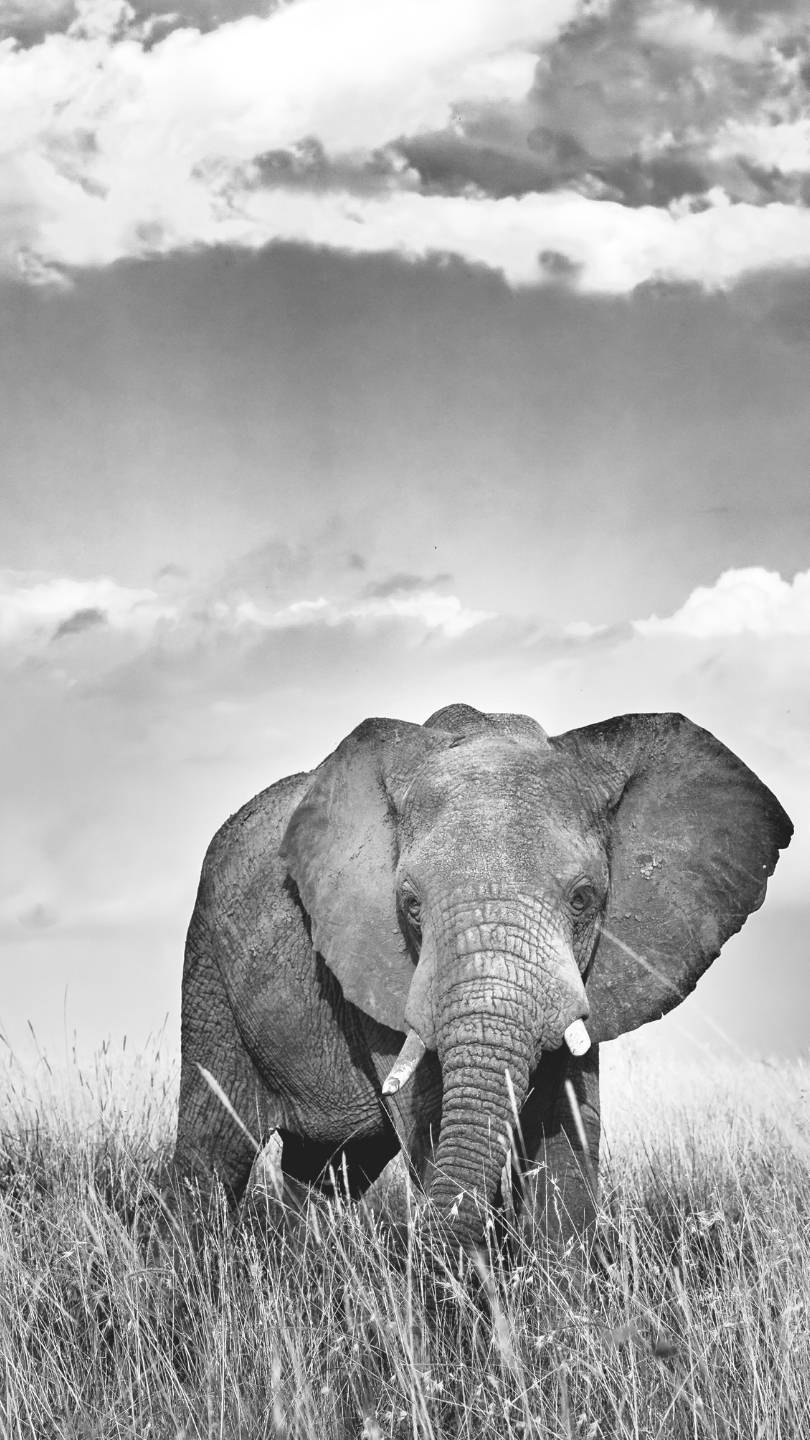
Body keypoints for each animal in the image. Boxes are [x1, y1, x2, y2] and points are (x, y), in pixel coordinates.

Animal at [173, 702, 791, 1250]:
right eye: (411, 905)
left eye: (583, 899)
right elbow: (429, 1115)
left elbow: (569, 1125)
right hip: (208, 969)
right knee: (212, 1150)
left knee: (328, 1167)